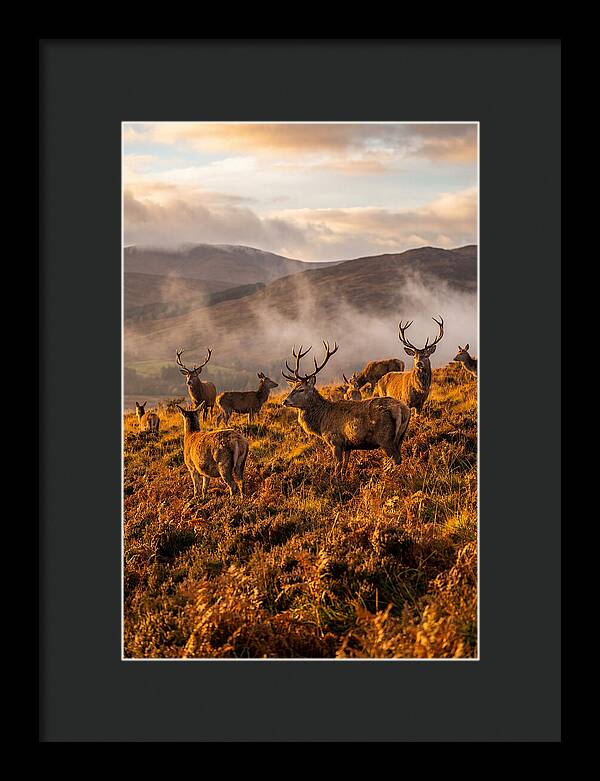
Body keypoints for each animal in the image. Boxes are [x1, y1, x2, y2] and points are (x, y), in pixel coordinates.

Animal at [282, 341, 411, 477]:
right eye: (293, 388)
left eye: (301, 389)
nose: (285, 401)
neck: (321, 422)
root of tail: (402, 409)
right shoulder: (348, 446)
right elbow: (345, 466)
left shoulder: (335, 441)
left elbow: (337, 467)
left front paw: (335, 480)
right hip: (401, 436)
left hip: (385, 438)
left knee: (396, 458)